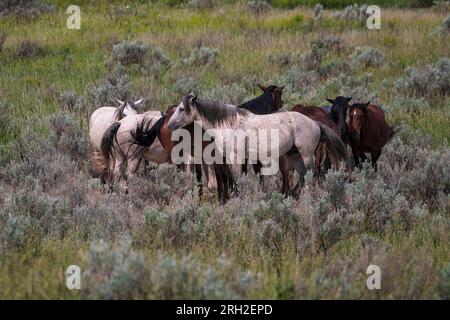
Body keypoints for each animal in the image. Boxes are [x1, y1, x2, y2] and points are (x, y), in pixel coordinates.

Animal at [167, 94, 346, 196]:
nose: (170, 125)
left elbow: (236, 179)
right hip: (294, 155)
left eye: (182, 108)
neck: (228, 124)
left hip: (306, 155)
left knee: (309, 175)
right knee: (302, 176)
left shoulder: (235, 158)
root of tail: (315, 124)